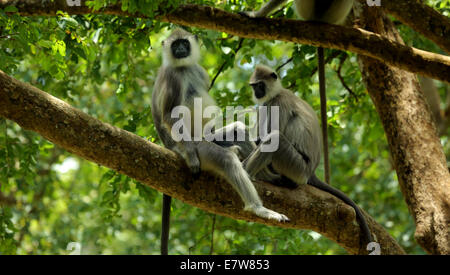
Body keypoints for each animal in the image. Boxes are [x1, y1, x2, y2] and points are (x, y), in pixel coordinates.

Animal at [153, 29, 290, 256]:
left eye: (184, 44)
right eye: (175, 46)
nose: (180, 49)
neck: (184, 67)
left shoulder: (200, 72)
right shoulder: (171, 76)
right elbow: (167, 115)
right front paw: (192, 157)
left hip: (211, 138)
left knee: (238, 130)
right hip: (199, 145)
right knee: (225, 159)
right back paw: (257, 208)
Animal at [243, 64, 372, 246]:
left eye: (260, 85)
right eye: (254, 86)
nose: (257, 92)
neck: (277, 92)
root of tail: (311, 172)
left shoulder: (277, 103)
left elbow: (268, 136)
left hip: (296, 166)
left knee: (276, 139)